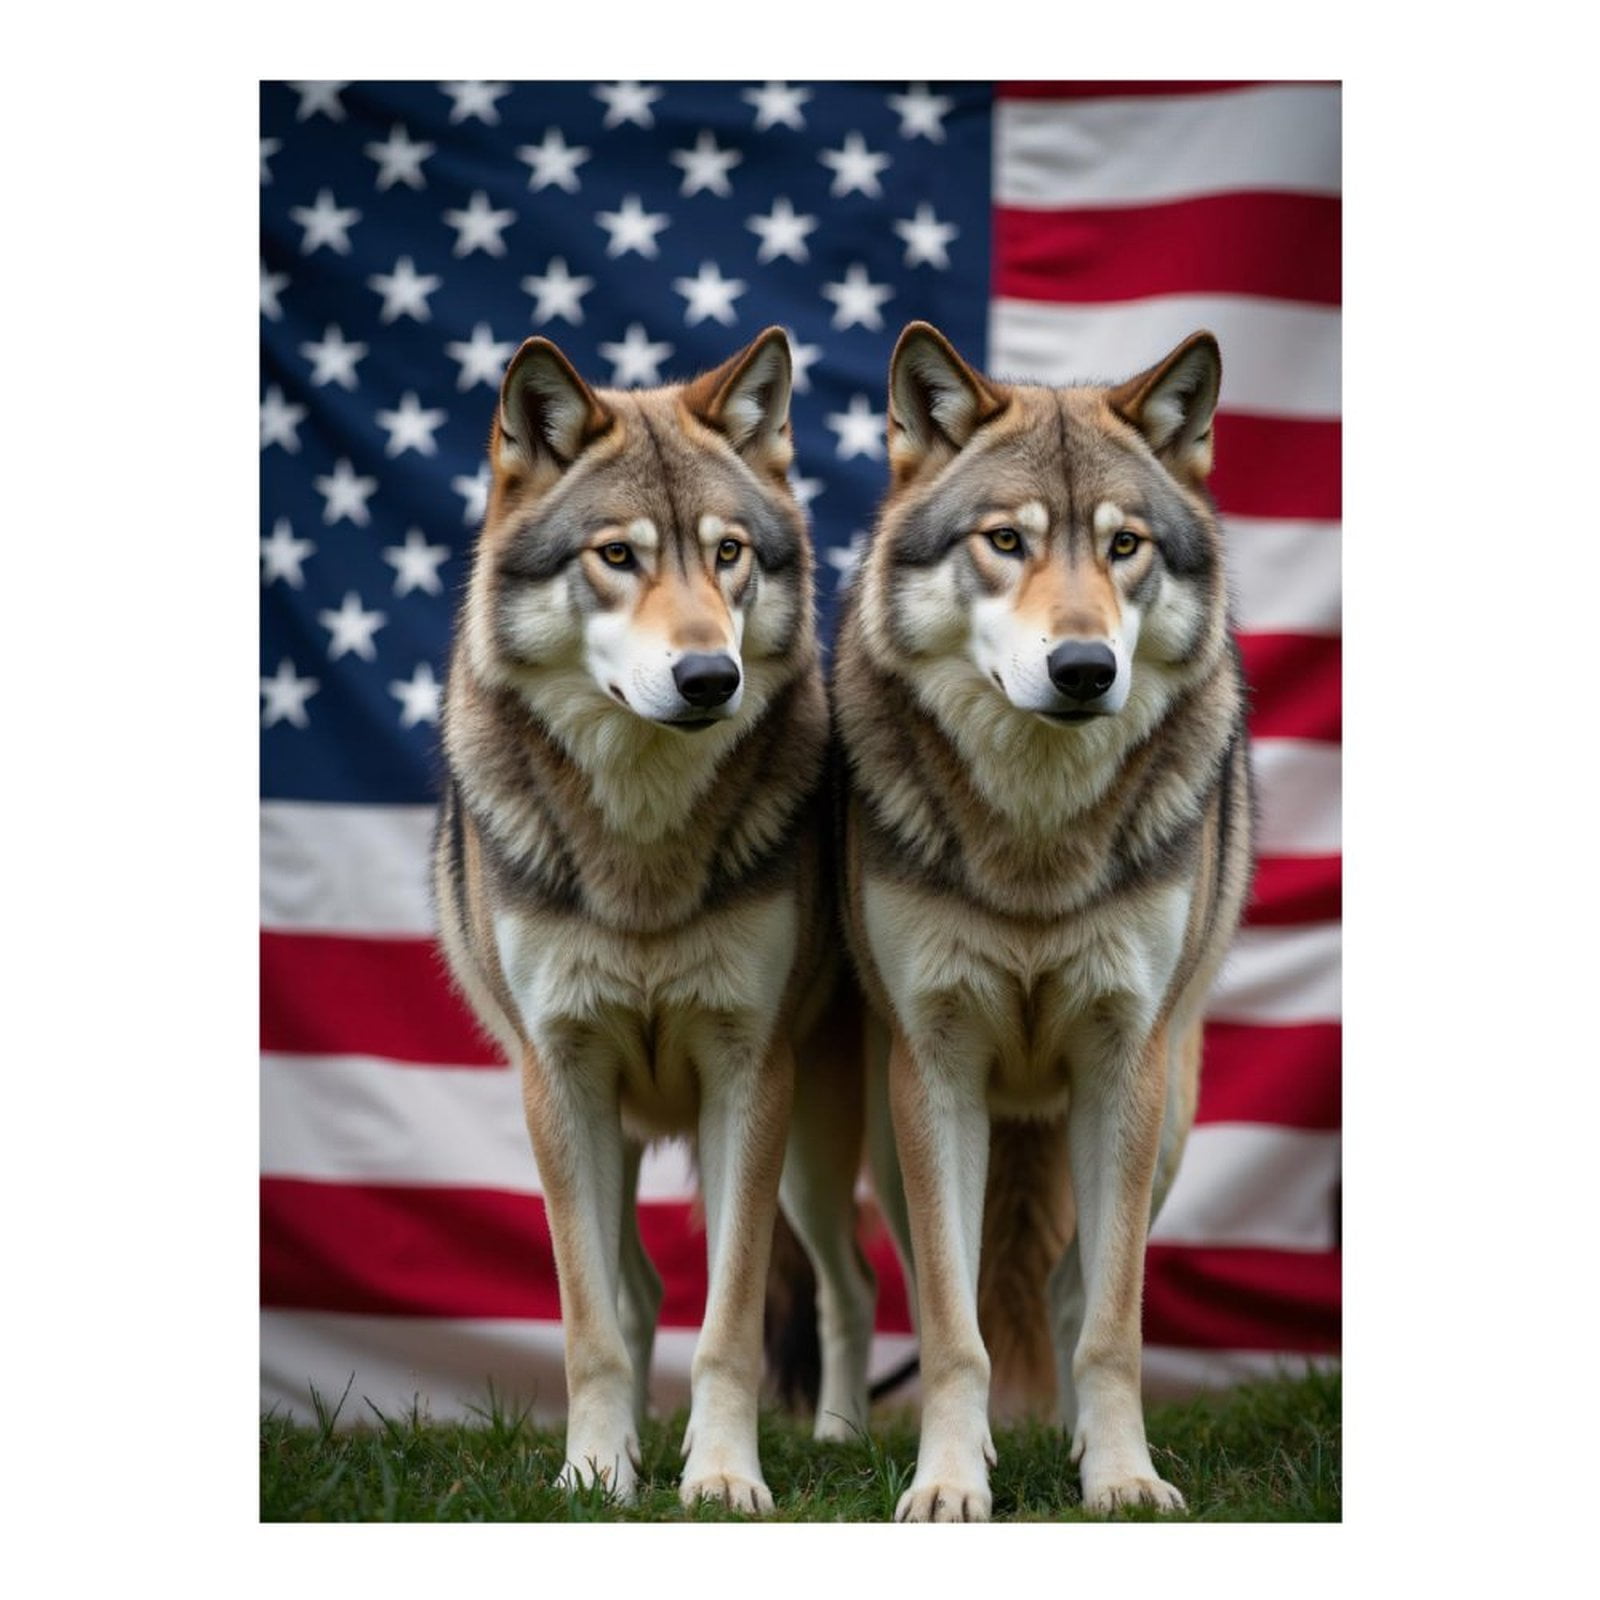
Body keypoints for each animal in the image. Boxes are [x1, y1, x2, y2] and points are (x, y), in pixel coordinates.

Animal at [432, 326, 830, 1511]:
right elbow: (591, 1321)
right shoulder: (559, 1075)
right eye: (617, 555)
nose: (707, 677)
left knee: (850, 1280)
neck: (642, 853)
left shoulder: (752, 1073)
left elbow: (730, 1323)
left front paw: (725, 1478)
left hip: (836, 1143)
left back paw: (842, 1432)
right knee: (636, 1286)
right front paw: (598, 1471)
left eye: (728, 553)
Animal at [779, 322, 1255, 1519]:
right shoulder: (936, 1069)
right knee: (864, 1282)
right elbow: (953, 1327)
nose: (1084, 668)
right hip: (842, 1134)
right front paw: (949, 1482)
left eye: (1125, 545)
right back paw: (843, 1436)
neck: (1036, 844)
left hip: (1165, 1115)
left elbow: (1113, 1325)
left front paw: (1121, 1474)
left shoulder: (1125, 1063)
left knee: (1074, 1285)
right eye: (1005, 540)